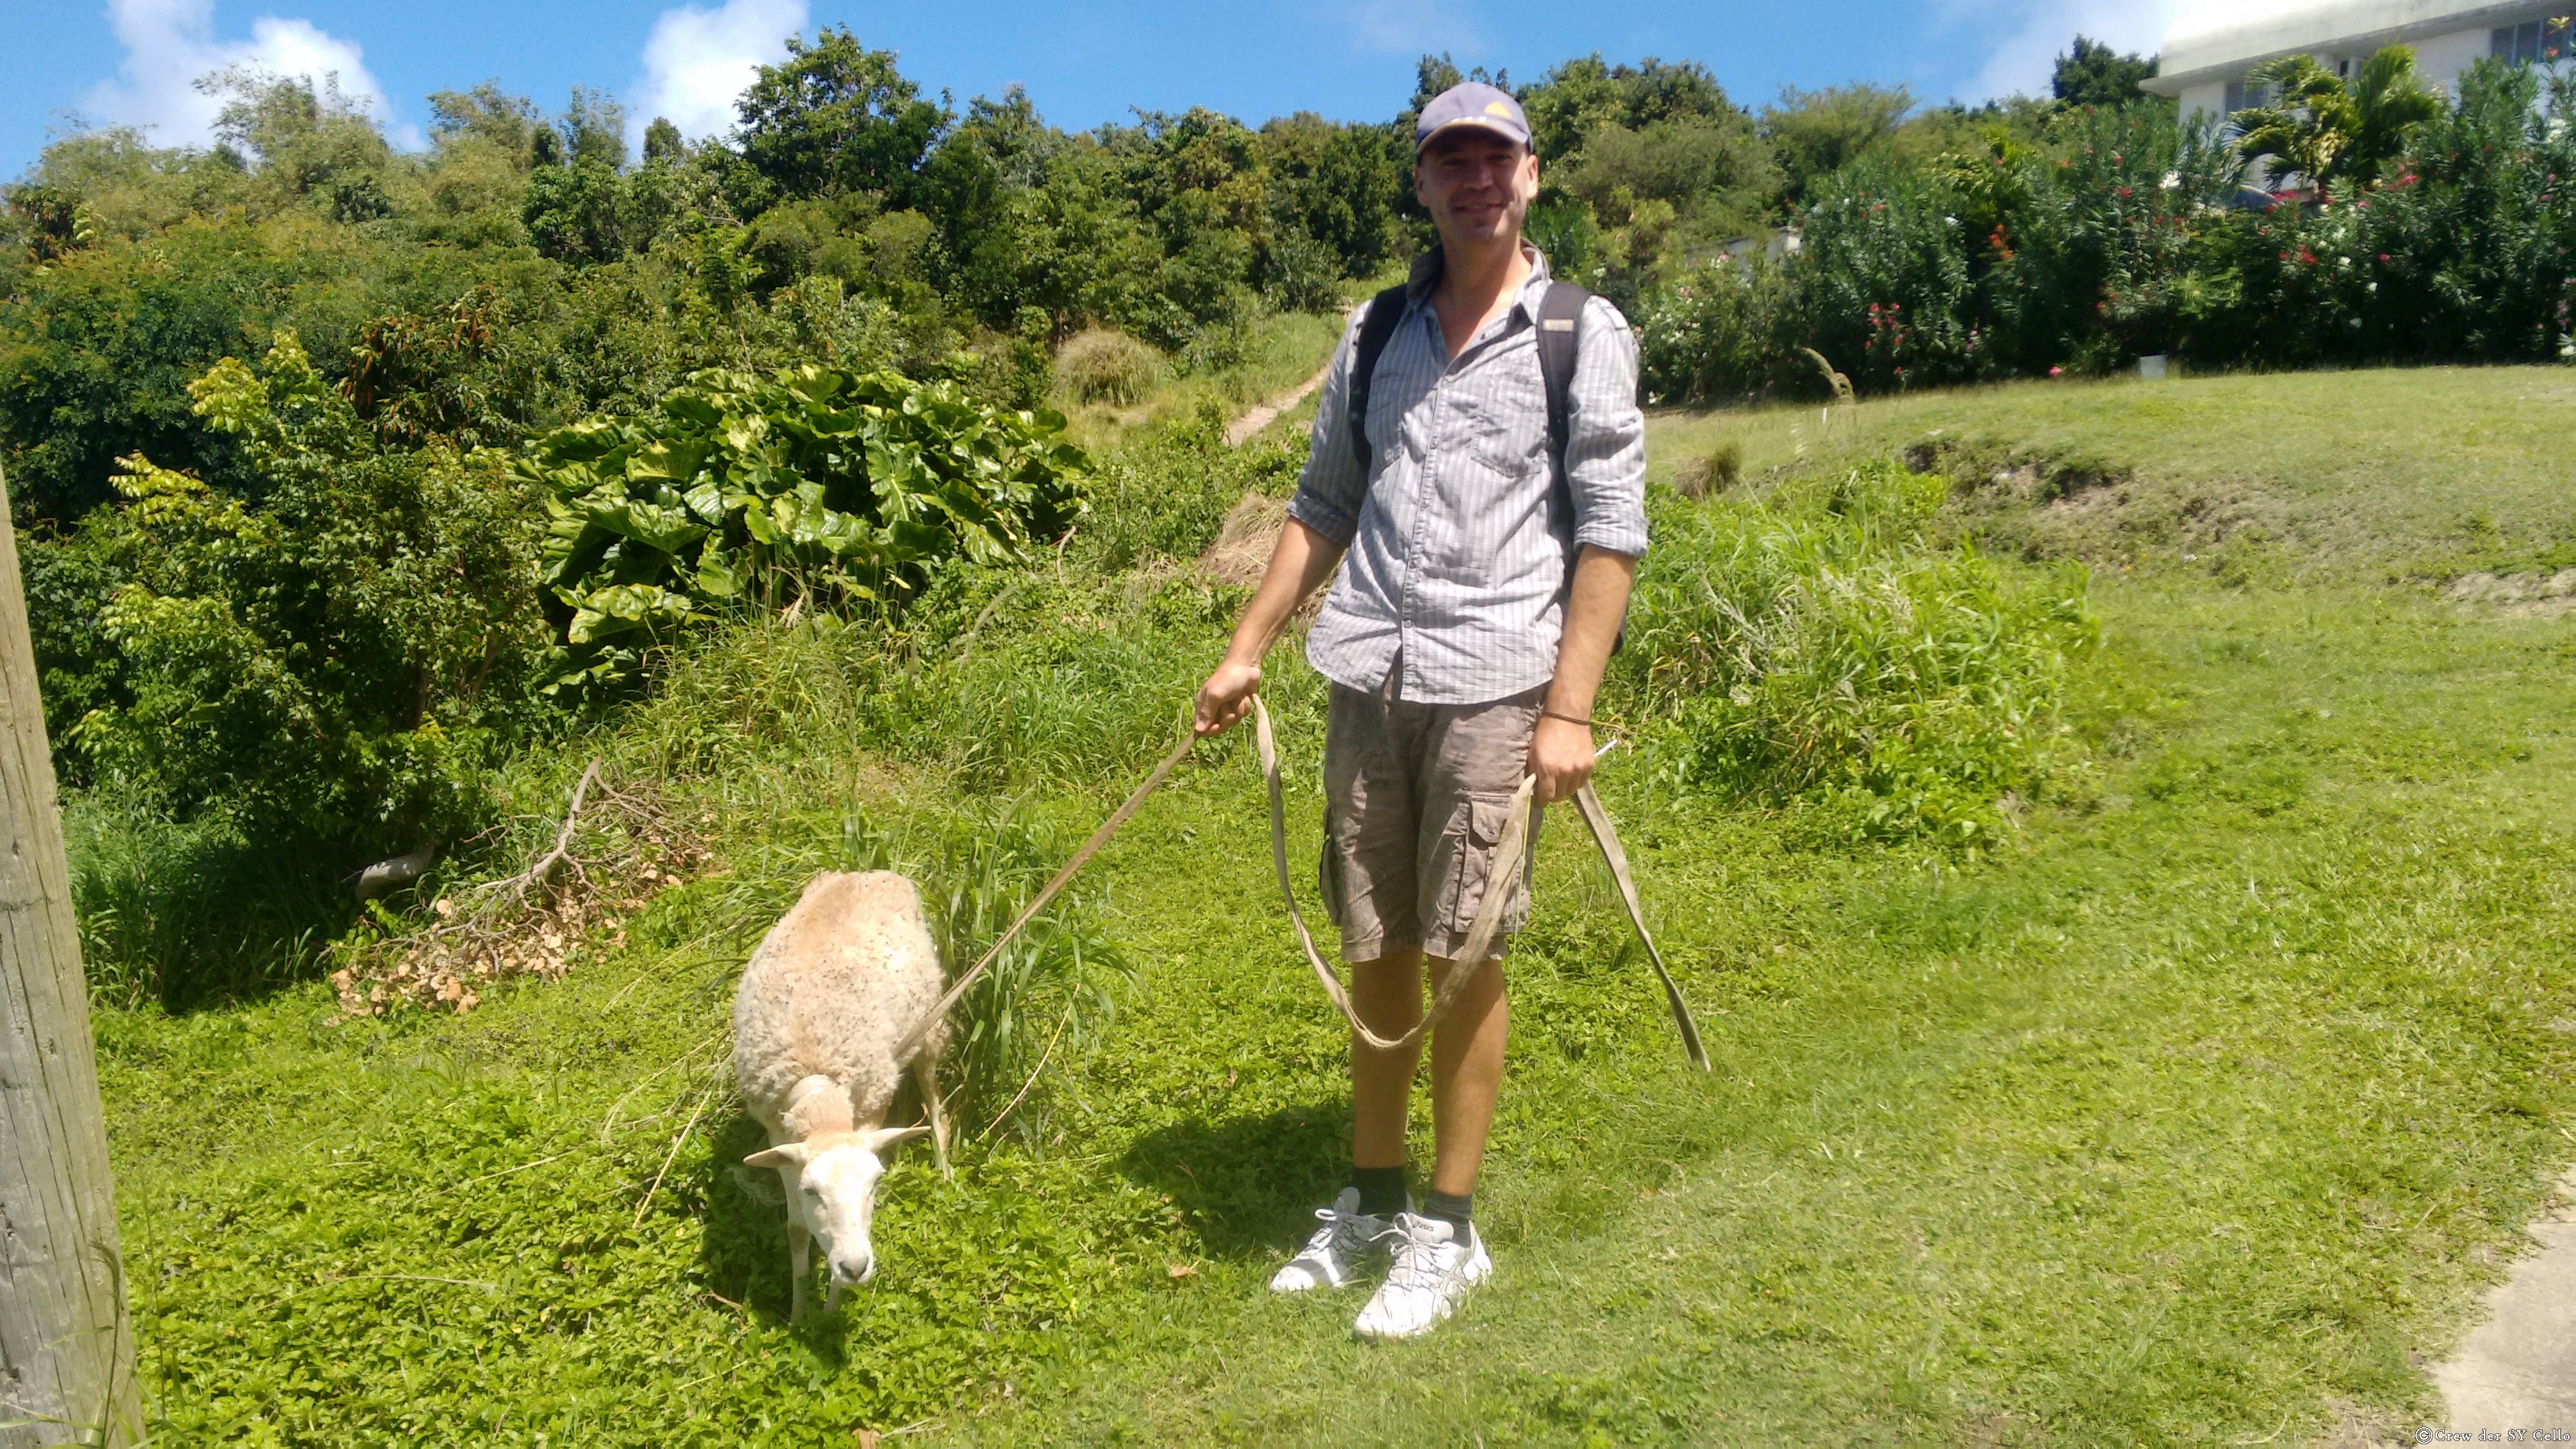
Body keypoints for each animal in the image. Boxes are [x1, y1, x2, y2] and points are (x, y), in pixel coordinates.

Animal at [731, 861, 953, 1315]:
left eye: (876, 1184)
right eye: (811, 1190)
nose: (854, 1267)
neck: (820, 1090)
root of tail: (874, 872)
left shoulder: (867, 1113)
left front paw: (830, 1310)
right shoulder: (780, 1135)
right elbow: (796, 1230)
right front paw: (800, 1313)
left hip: (928, 1022)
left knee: (935, 1103)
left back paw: (943, 1171)